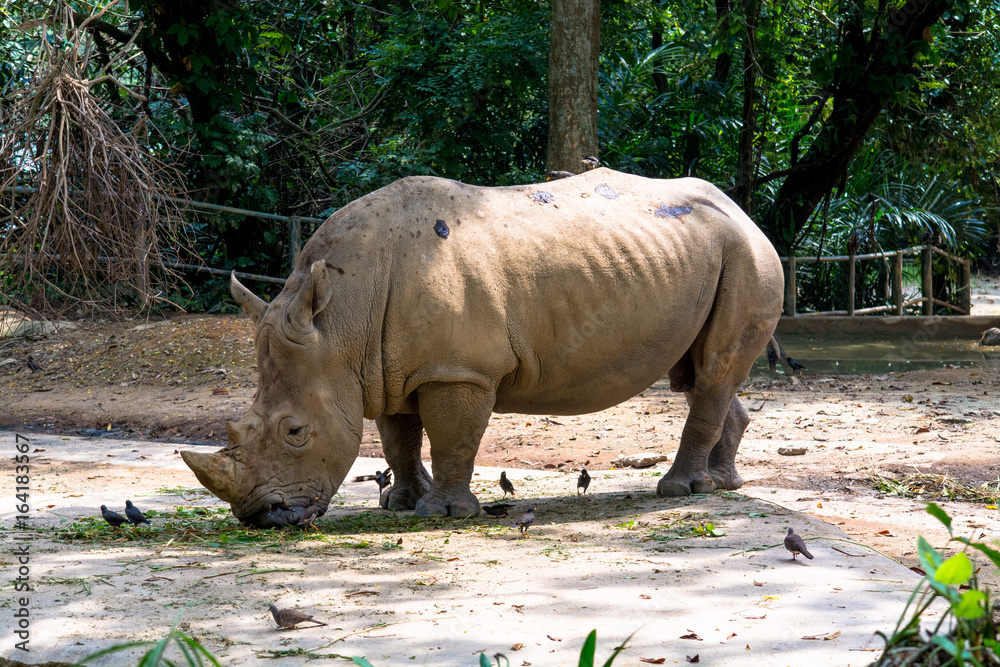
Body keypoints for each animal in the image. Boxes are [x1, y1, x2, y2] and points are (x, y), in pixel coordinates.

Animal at [181, 168, 784, 527]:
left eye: (296, 433)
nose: (260, 516)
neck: (342, 324)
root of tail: (742, 210)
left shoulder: (457, 370)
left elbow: (452, 438)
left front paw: (442, 514)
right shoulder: (384, 367)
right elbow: (397, 438)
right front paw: (402, 504)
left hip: (748, 253)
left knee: (712, 371)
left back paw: (679, 491)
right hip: (713, 253)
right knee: (701, 374)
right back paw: (723, 484)